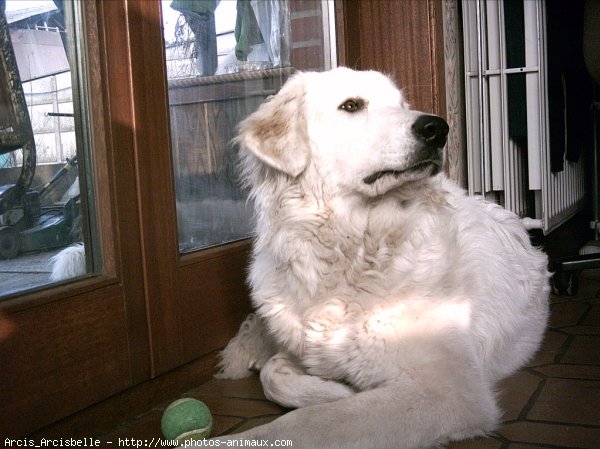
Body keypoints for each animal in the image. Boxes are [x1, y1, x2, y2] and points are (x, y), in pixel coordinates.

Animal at [213, 67, 552, 448]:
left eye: (402, 105)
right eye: (351, 105)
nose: (437, 128)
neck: (353, 247)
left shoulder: (450, 391)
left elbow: (310, 423)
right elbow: (274, 375)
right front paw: (338, 388)